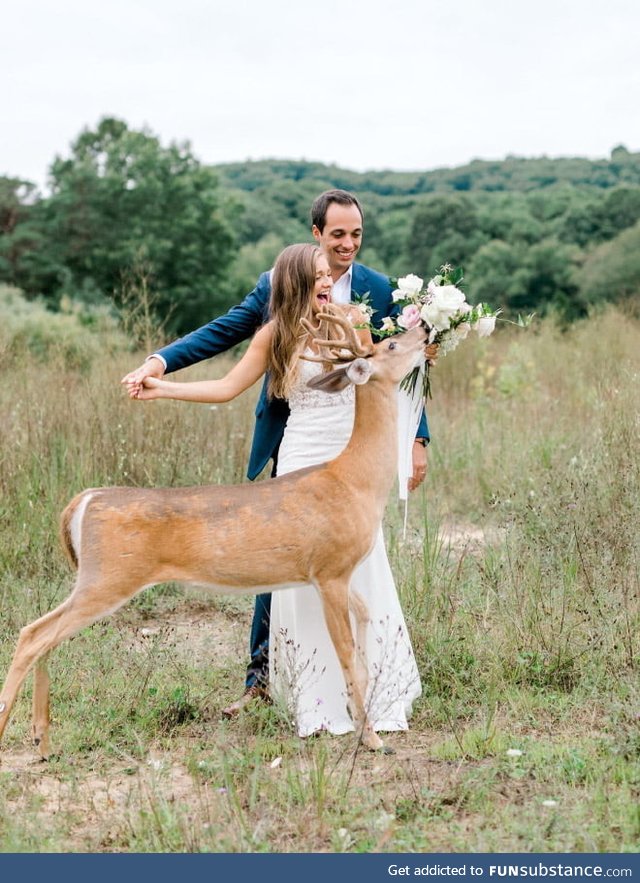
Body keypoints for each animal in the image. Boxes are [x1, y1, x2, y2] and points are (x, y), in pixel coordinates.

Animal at [0, 312, 428, 760]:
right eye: (391, 345)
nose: (426, 330)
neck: (354, 479)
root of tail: (84, 500)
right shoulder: (329, 569)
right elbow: (345, 651)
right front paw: (371, 737)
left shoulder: (336, 573)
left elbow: (364, 622)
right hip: (108, 576)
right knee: (33, 635)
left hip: (97, 577)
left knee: (44, 636)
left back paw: (43, 740)